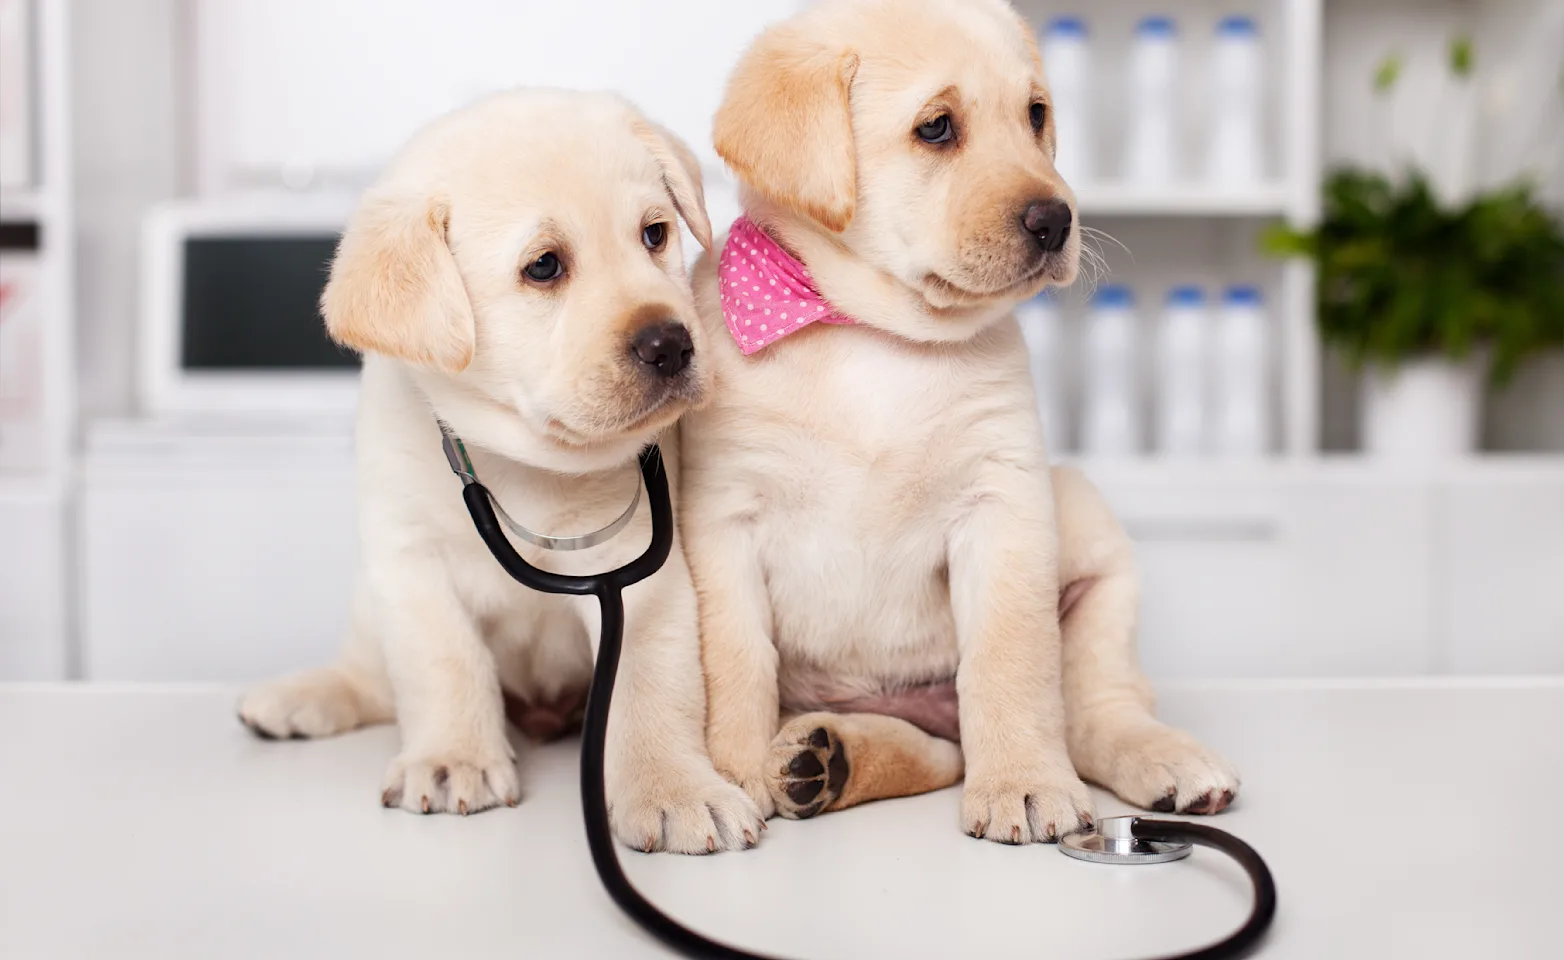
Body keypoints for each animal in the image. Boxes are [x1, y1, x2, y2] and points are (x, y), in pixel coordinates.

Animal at [234, 88, 766, 856]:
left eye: (655, 234)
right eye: (544, 266)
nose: (671, 343)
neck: (523, 459)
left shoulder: (644, 578)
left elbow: (651, 687)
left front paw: (675, 789)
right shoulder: (410, 561)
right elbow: (444, 663)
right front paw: (453, 759)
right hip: (369, 602)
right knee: (369, 676)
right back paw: (301, 696)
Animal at [678, 0, 1238, 844]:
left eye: (1036, 115)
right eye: (937, 128)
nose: (1057, 220)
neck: (872, 334)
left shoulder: (1002, 503)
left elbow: (1011, 659)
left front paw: (1025, 784)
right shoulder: (721, 519)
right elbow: (736, 665)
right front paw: (731, 776)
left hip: (1088, 528)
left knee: (1092, 708)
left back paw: (1163, 759)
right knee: (934, 753)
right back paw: (819, 760)